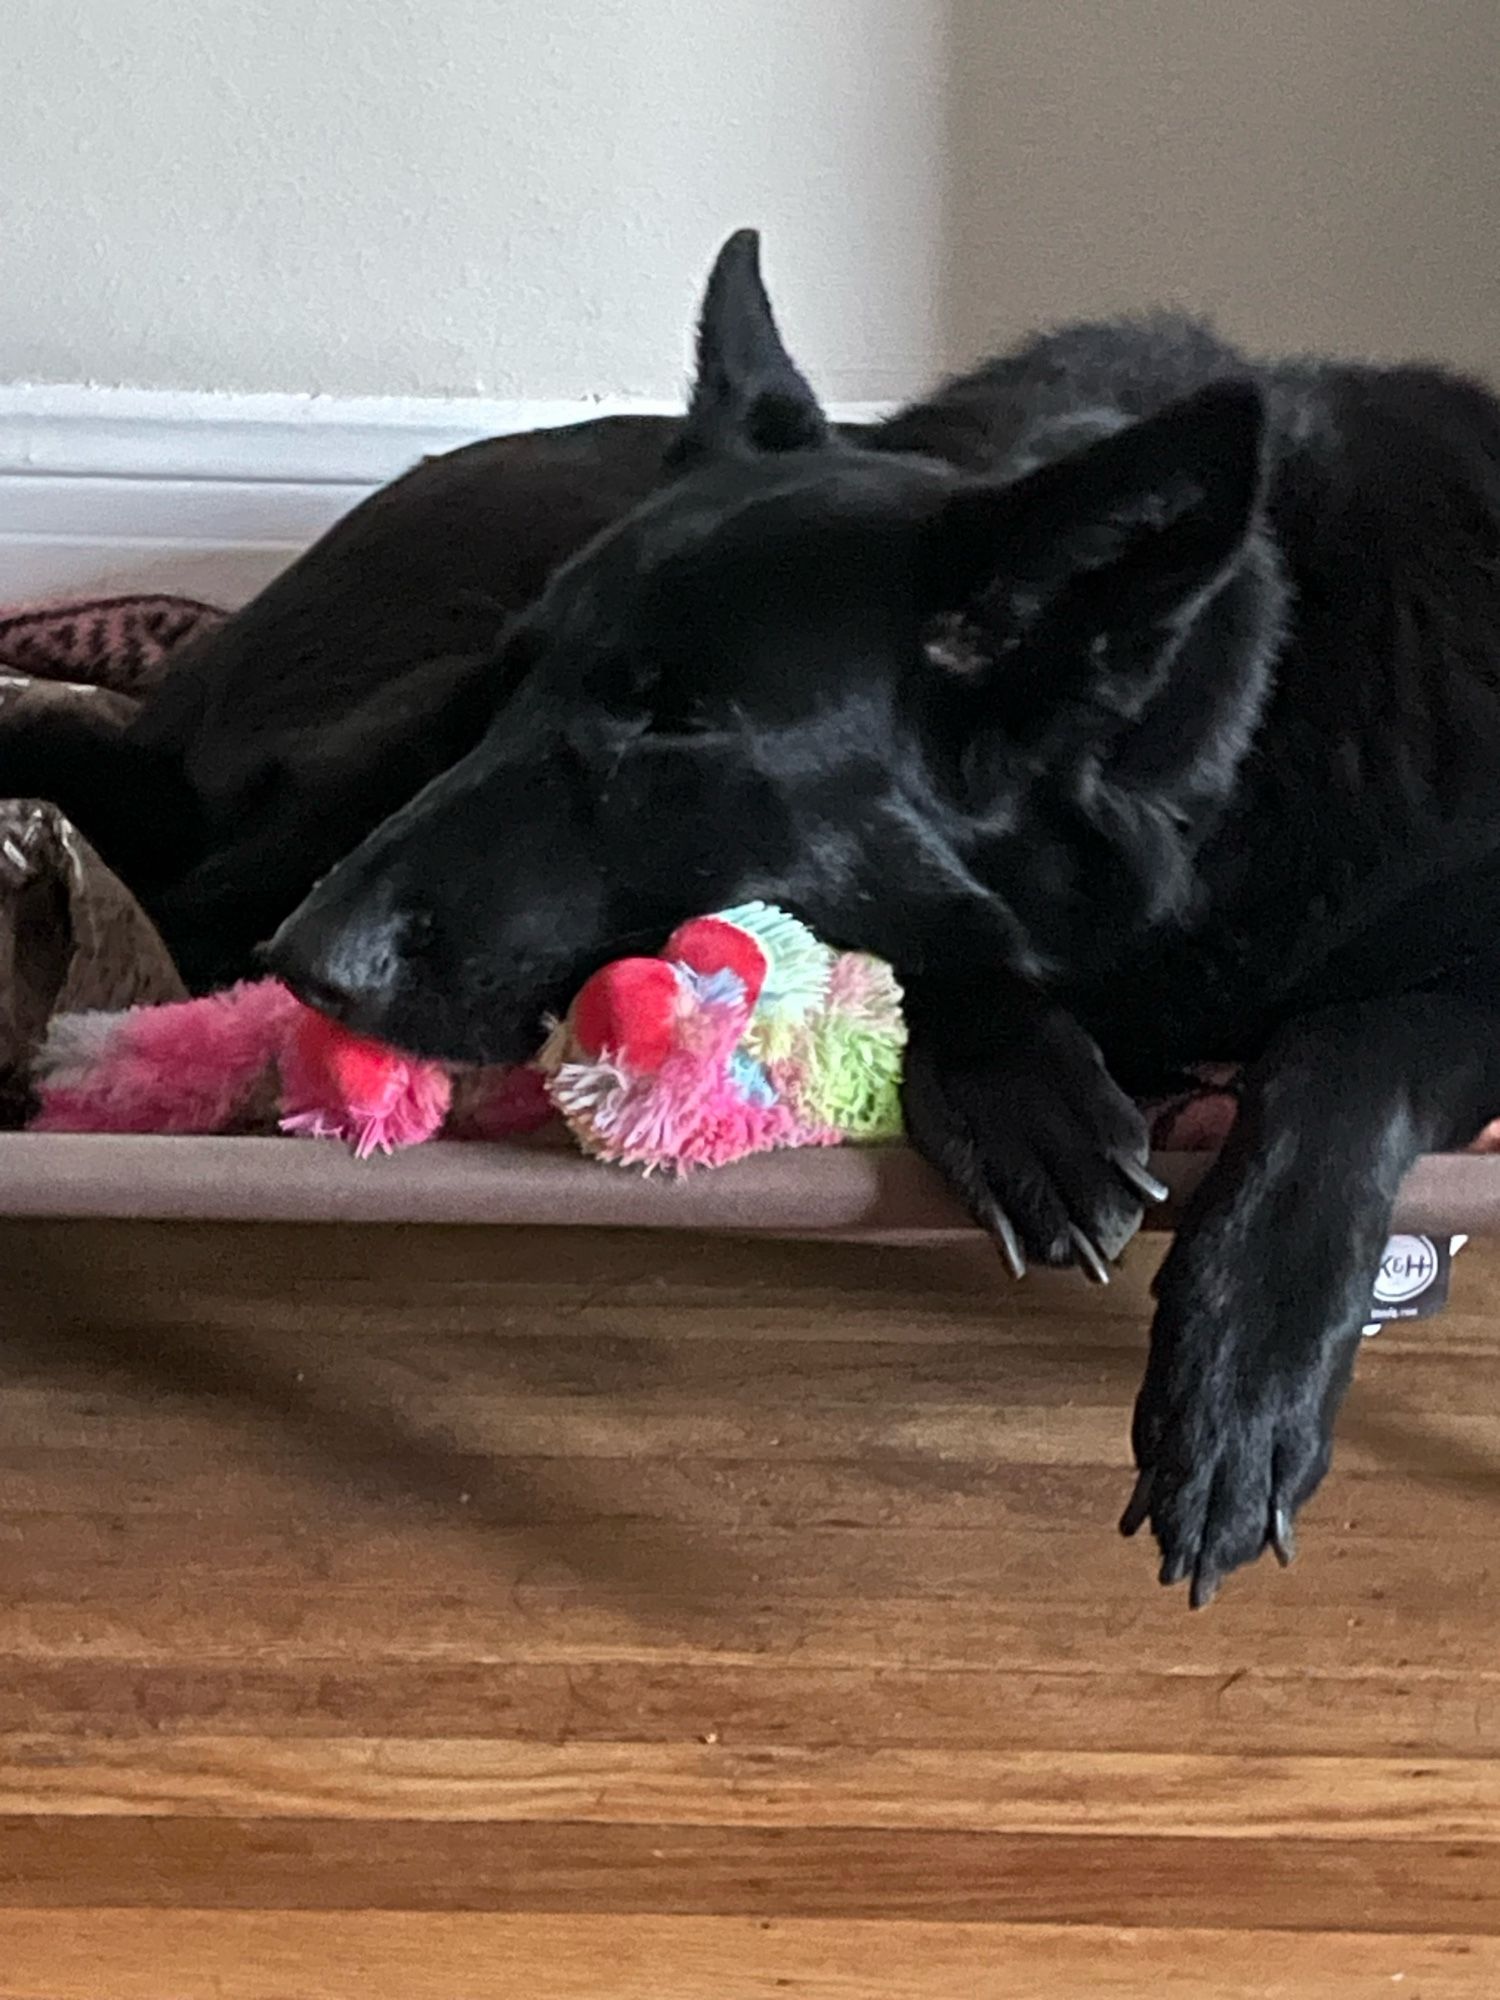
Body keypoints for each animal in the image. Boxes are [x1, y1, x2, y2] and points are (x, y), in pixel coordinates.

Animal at [11, 238, 1500, 1608]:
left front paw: (1242, 1372)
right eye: (526, 679)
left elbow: (1347, 1054)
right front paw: (1023, 1087)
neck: (1223, 756)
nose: (312, 964)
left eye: (676, 724)